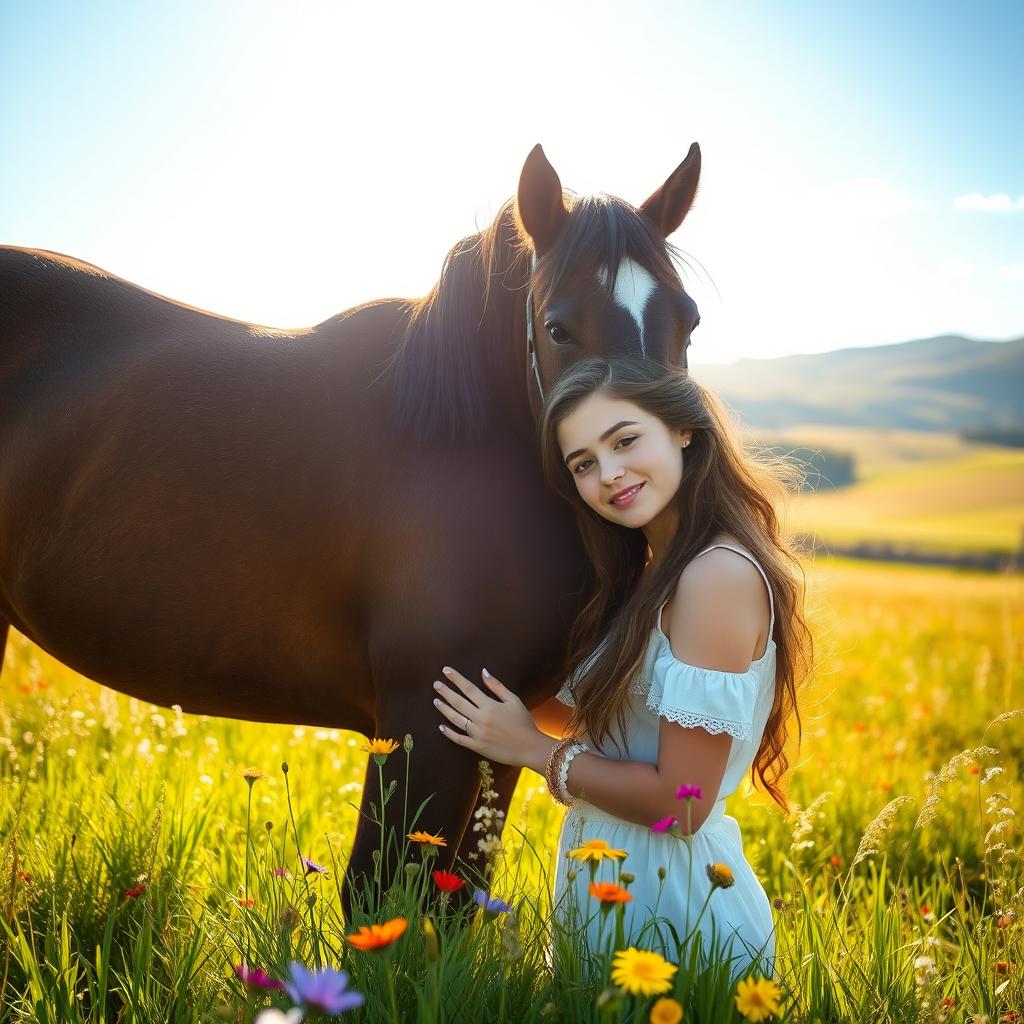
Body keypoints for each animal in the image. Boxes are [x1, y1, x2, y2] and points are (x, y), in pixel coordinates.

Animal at [0, 140, 704, 909]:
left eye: (689, 320)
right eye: (558, 328)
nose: (653, 455)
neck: (471, 441)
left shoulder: (500, 730)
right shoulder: (421, 718)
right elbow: (379, 893)